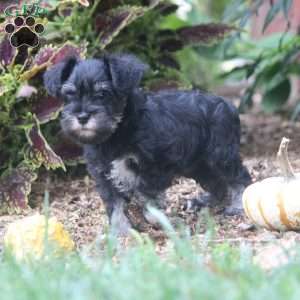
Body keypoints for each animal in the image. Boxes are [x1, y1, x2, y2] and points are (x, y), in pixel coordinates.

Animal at [44, 54, 251, 236]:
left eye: (102, 94)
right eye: (69, 95)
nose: (82, 117)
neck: (117, 131)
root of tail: (228, 105)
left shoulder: (153, 169)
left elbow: (148, 199)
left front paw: (160, 220)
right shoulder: (104, 175)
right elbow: (115, 205)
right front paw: (120, 230)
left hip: (220, 155)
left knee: (239, 177)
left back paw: (237, 205)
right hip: (197, 165)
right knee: (217, 184)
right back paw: (202, 203)